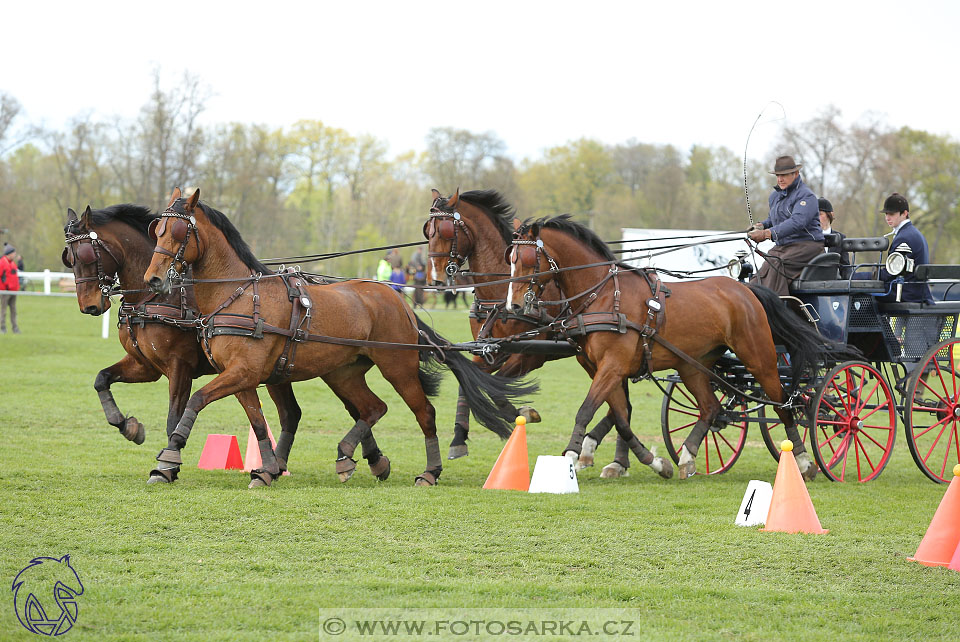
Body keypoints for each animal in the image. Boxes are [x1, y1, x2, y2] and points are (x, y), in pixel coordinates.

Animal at [62, 202, 302, 478]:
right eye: (68, 258)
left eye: (87, 255)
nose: (88, 306)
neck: (156, 297)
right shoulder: (145, 366)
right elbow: (102, 379)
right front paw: (129, 427)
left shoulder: (180, 366)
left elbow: (173, 418)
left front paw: (168, 465)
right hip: (276, 372)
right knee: (291, 414)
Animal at [142, 186, 536, 484]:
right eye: (155, 230)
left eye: (177, 233)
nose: (153, 279)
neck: (238, 294)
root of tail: (396, 297)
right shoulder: (243, 377)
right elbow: (257, 422)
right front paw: (266, 469)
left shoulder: (244, 372)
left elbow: (195, 400)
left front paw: (169, 455)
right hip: (343, 372)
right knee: (373, 407)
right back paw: (351, 455)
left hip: (398, 368)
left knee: (423, 412)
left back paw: (430, 470)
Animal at [426, 188, 636, 472]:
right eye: (427, 231)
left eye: (447, 231)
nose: (434, 278)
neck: (500, 292)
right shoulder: (490, 349)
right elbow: (469, 383)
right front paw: (459, 438)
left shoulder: (530, 355)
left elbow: (497, 388)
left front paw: (523, 413)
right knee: (621, 404)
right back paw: (611, 458)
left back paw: (606, 456)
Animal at [506, 216, 852, 480]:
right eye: (510, 260)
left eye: (526, 261)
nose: (513, 305)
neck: (603, 295)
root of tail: (746, 290)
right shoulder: (602, 369)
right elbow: (621, 418)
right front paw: (655, 463)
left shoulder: (613, 366)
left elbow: (587, 410)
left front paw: (570, 456)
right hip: (692, 365)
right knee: (711, 408)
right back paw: (686, 456)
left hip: (760, 358)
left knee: (785, 405)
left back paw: (805, 461)